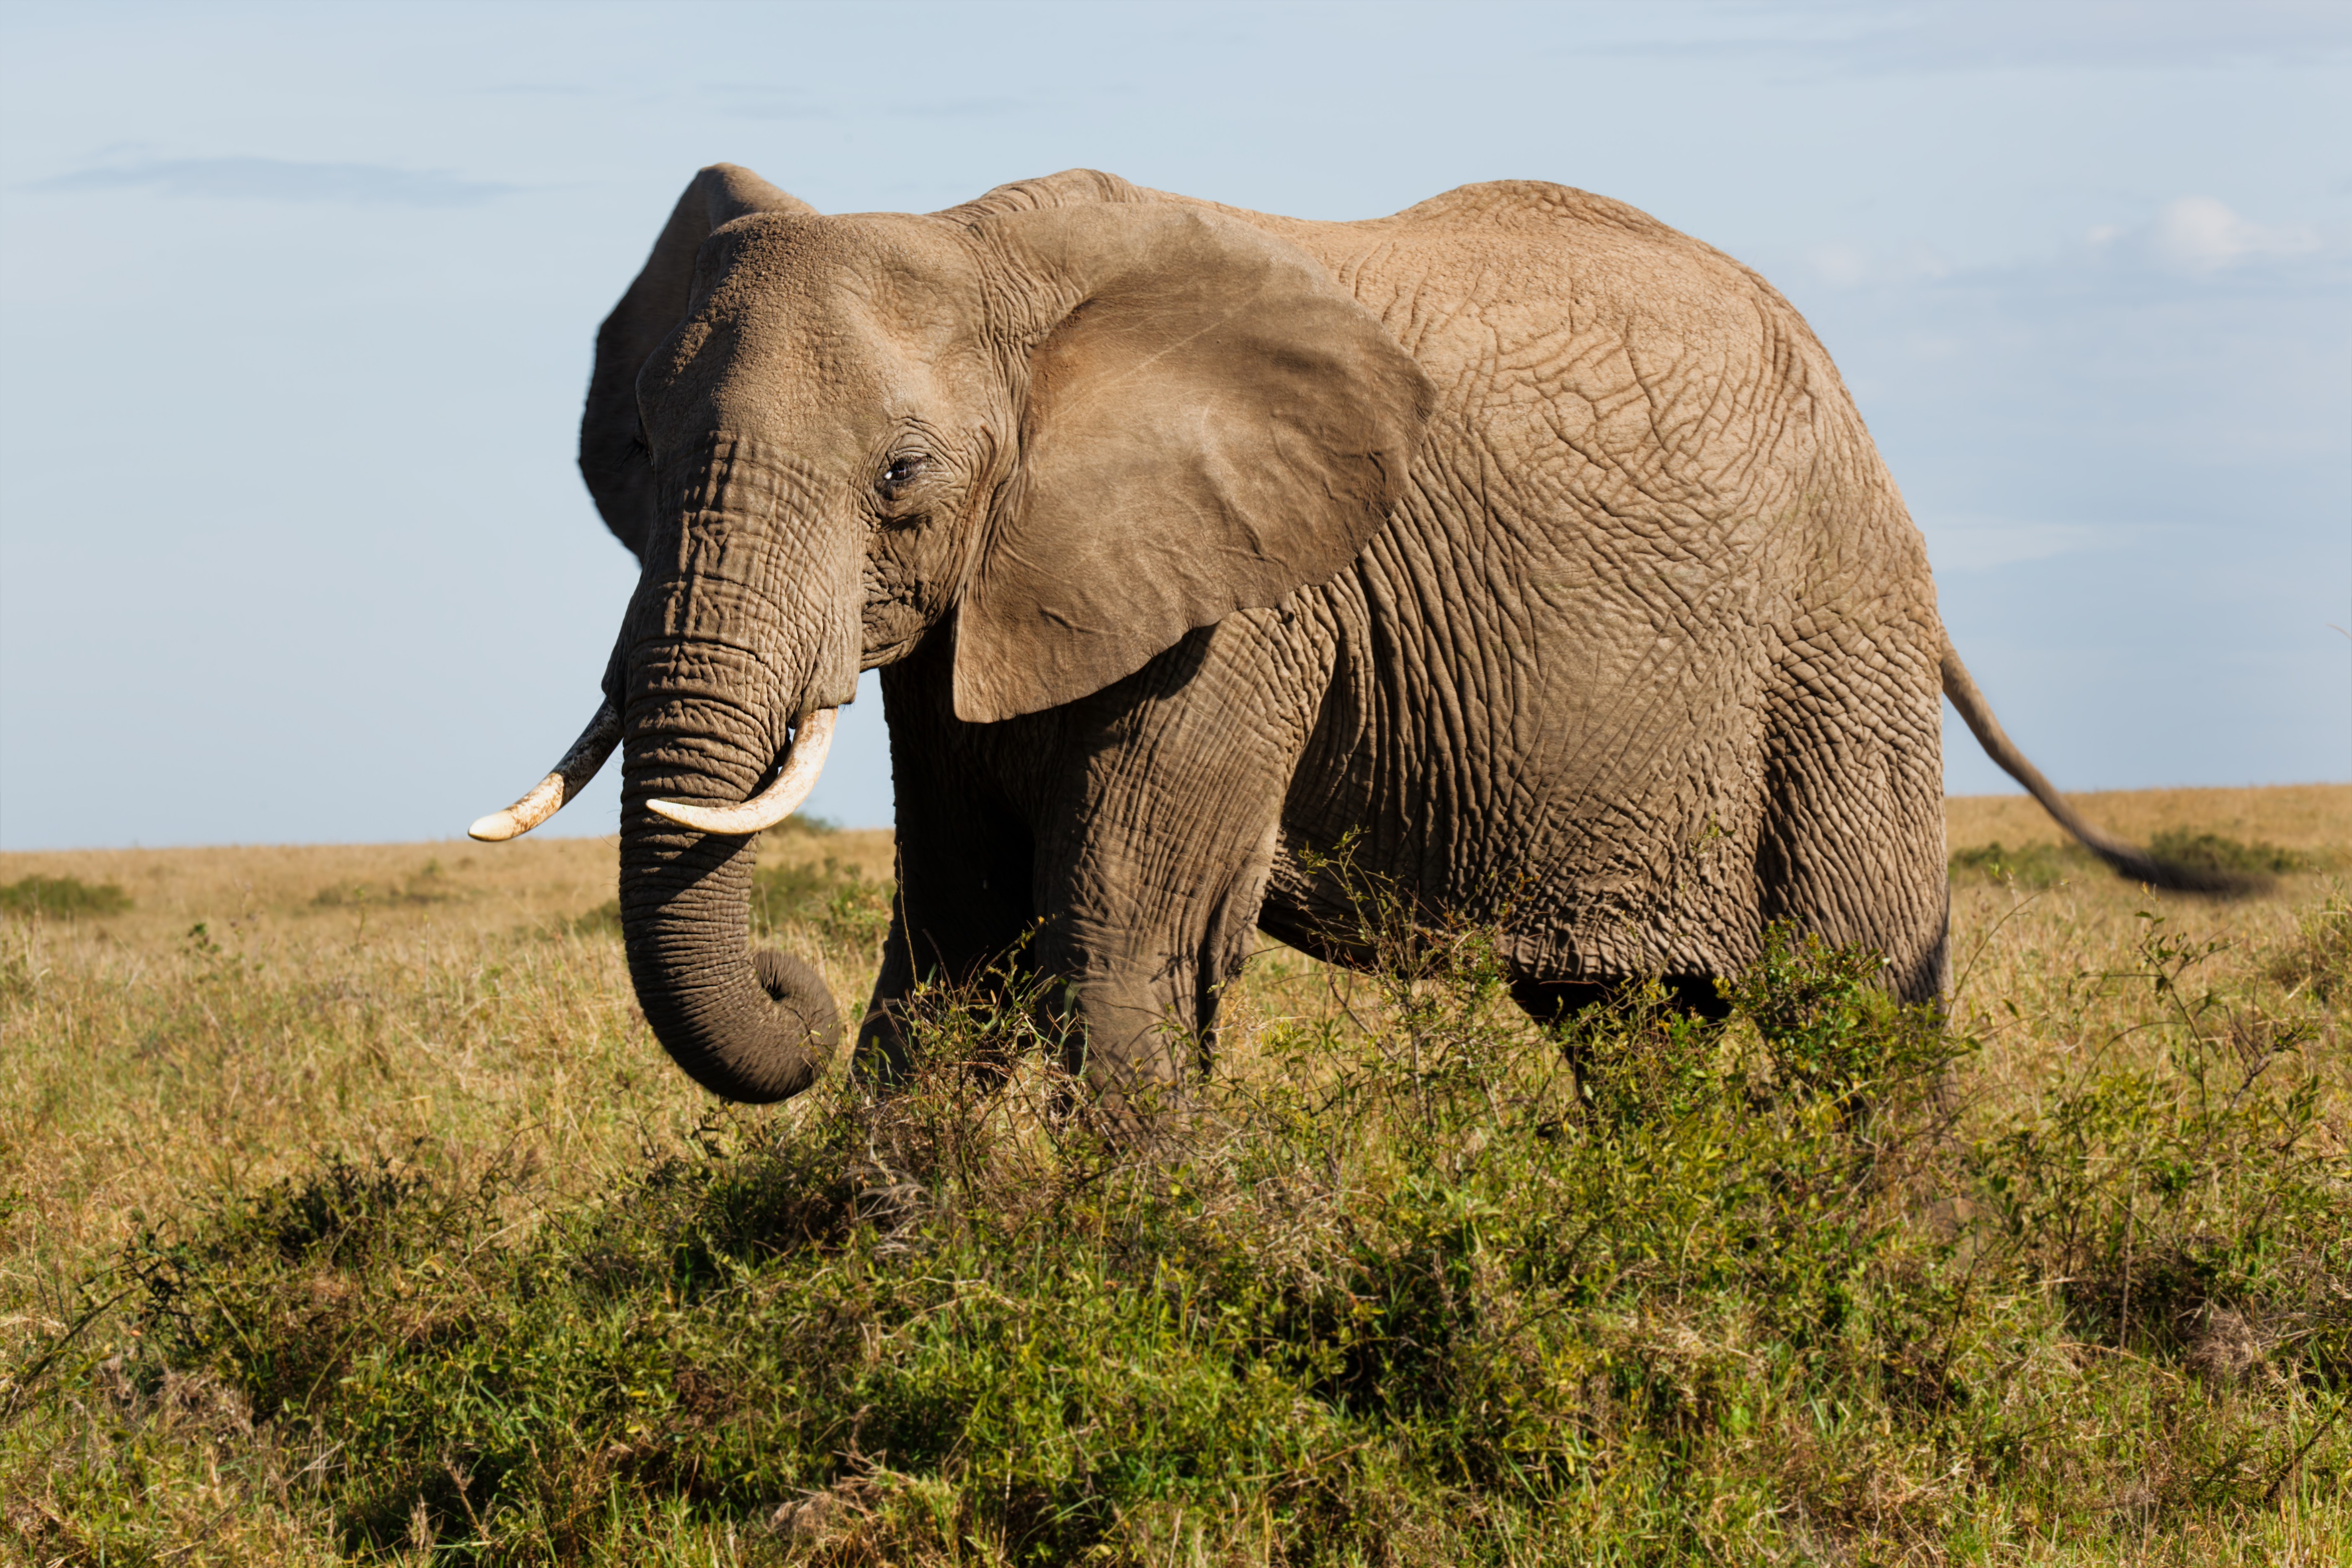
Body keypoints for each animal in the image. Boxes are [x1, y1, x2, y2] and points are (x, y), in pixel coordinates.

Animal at [470, 165, 2219, 1111]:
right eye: (637, 452)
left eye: (902, 477)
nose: (787, 976)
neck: (993, 252)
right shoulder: (994, 601)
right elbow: (955, 944)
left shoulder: (1248, 606)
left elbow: (1119, 942)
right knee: (1625, 1036)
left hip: (1831, 636)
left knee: (1856, 1004)